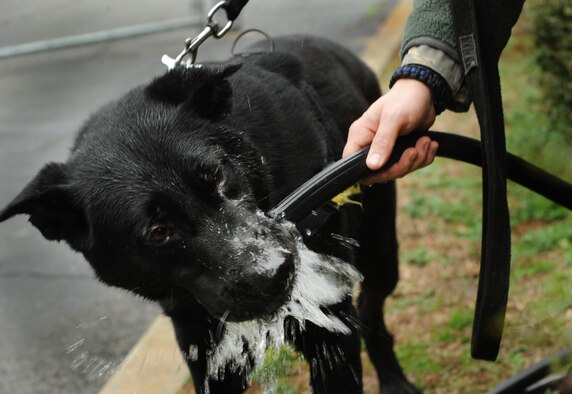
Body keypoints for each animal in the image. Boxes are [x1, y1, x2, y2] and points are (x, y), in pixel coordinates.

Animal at [1, 35, 416, 392]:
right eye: (158, 231)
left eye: (216, 176)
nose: (275, 275)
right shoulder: (200, 342)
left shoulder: (326, 322)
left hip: (380, 250)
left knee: (372, 310)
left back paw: (395, 381)